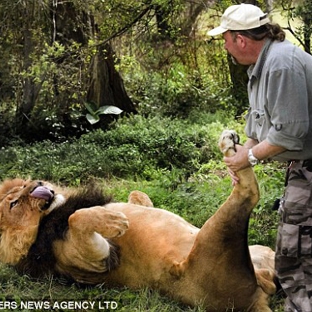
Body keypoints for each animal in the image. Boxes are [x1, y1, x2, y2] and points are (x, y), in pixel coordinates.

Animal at [0, 130, 276, 310]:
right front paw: (115, 221)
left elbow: (135, 194)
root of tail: (257, 295)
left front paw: (131, 205)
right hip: (216, 235)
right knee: (249, 192)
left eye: (23, 185)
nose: (37, 183)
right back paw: (231, 150)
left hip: (262, 251)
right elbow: (76, 217)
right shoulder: (94, 260)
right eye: (14, 203)